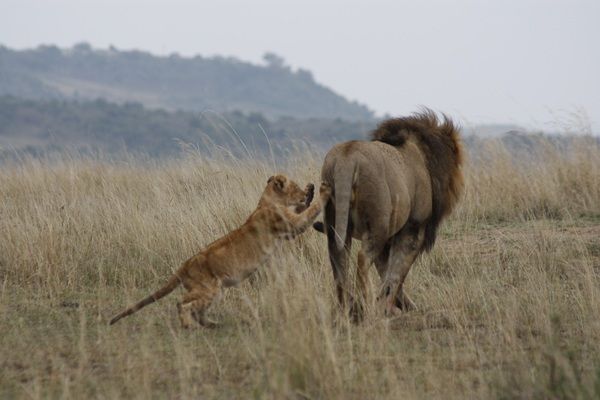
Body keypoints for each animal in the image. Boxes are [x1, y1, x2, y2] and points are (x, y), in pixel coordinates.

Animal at [316, 109, 462, 318]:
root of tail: (347, 159)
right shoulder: (413, 229)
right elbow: (396, 272)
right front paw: (390, 307)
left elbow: (387, 271)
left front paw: (395, 306)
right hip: (379, 225)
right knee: (362, 259)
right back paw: (367, 305)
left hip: (336, 219)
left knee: (339, 261)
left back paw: (347, 309)